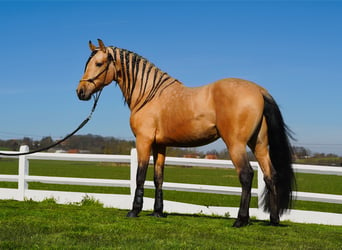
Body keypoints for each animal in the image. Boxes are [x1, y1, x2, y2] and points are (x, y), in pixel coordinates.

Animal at [76, 38, 296, 227]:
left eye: (99, 63)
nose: (80, 92)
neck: (150, 94)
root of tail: (258, 90)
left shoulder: (144, 141)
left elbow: (140, 175)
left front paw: (134, 211)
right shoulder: (160, 145)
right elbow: (158, 177)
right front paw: (158, 212)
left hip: (236, 145)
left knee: (247, 175)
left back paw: (240, 220)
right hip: (258, 145)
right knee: (270, 176)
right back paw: (273, 220)